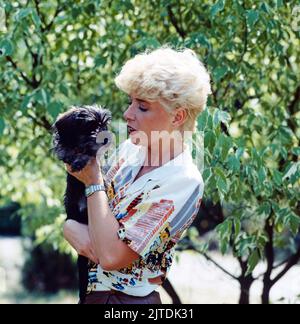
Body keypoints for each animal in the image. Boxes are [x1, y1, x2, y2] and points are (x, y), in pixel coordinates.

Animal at [51, 105, 112, 302]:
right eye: (90, 127)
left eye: (103, 126)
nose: (106, 137)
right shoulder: (64, 148)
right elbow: (66, 151)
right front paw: (74, 158)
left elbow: (90, 155)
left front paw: (81, 158)